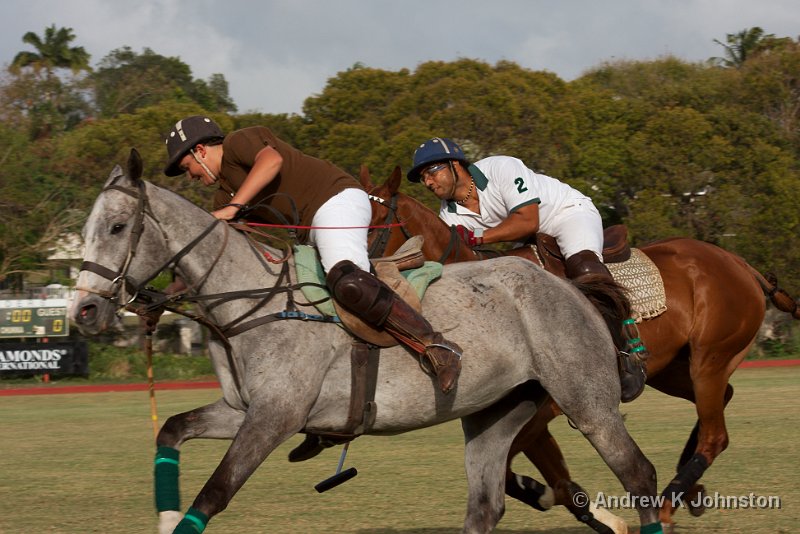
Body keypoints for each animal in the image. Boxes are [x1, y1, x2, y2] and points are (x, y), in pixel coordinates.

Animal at [70, 151, 664, 534]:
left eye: (118, 227)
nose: (84, 311)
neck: (247, 298)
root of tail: (567, 285)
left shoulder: (274, 416)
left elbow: (213, 494)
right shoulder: (243, 409)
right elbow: (170, 430)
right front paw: (164, 514)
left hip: (586, 401)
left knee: (639, 473)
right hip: (497, 413)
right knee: (484, 505)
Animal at [364, 166, 800, 532]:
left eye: (368, 227)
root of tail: (739, 262)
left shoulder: (544, 411)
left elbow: (519, 470)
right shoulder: (530, 416)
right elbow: (538, 479)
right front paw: (589, 511)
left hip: (709, 358)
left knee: (715, 434)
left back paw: (667, 503)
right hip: (675, 369)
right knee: (723, 400)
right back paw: (688, 493)